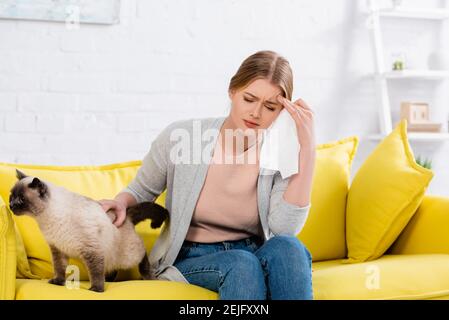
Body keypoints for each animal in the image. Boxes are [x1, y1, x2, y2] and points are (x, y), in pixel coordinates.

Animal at [8, 170, 168, 292]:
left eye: (21, 199)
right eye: (11, 197)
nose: (11, 206)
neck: (45, 219)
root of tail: (126, 214)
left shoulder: (91, 250)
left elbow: (95, 272)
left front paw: (97, 289)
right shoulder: (58, 249)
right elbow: (59, 268)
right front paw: (58, 282)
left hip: (129, 255)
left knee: (142, 254)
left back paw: (147, 275)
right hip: (110, 255)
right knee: (111, 267)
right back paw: (109, 279)